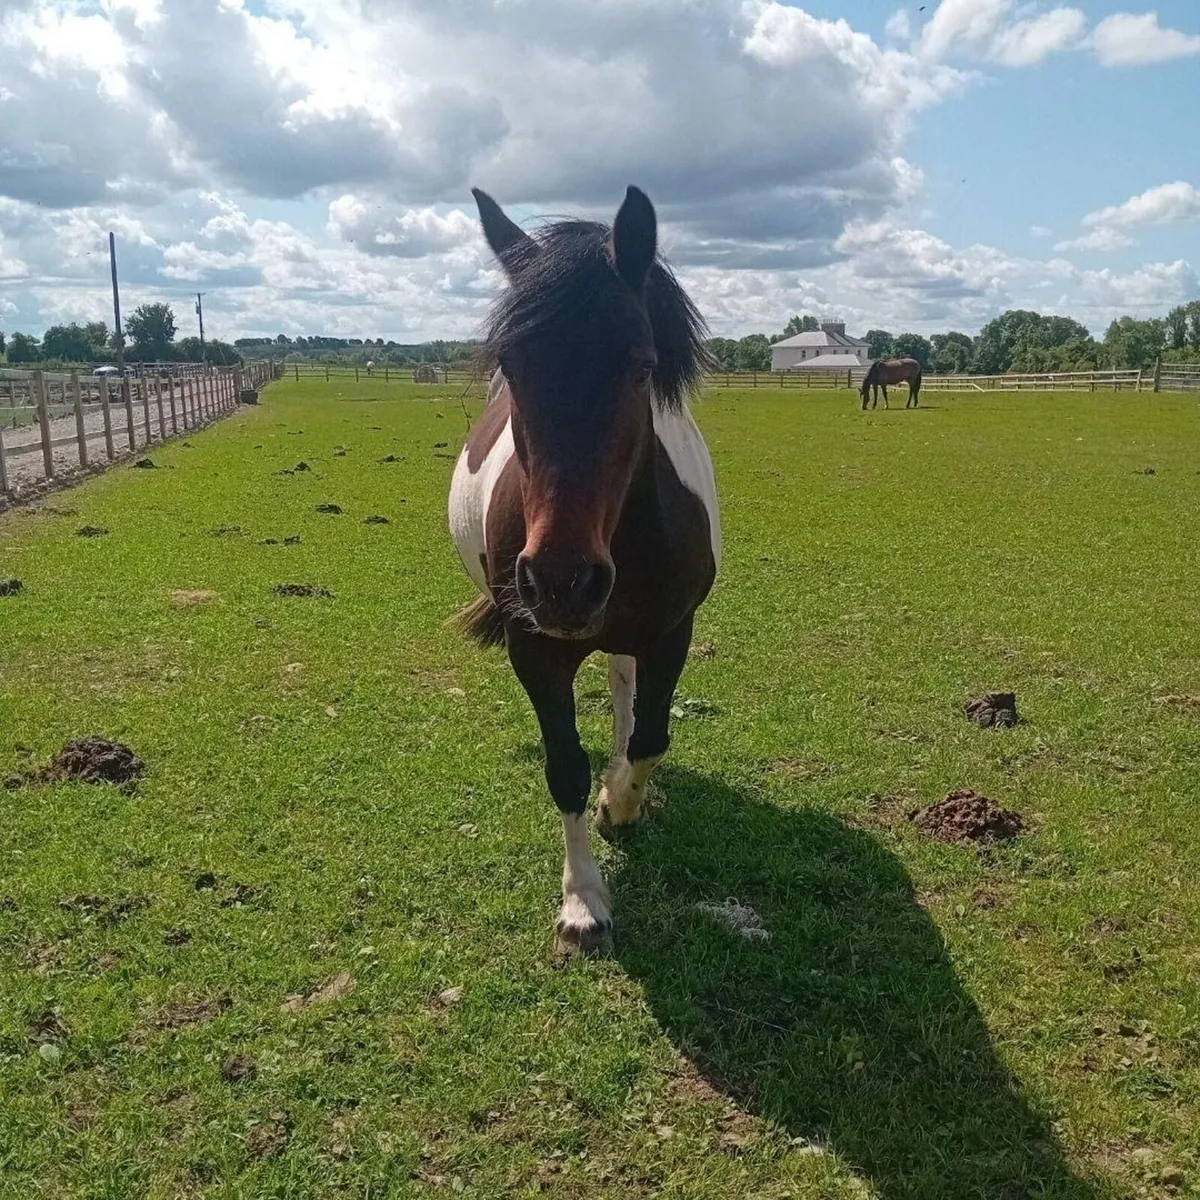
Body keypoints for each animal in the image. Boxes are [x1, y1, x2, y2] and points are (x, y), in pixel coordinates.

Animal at [448, 186, 720, 957]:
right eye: (512, 367)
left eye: (640, 366)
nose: (562, 582)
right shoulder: (536, 649)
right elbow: (563, 766)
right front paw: (582, 902)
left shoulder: (673, 633)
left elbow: (652, 737)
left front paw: (620, 802)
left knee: (627, 691)